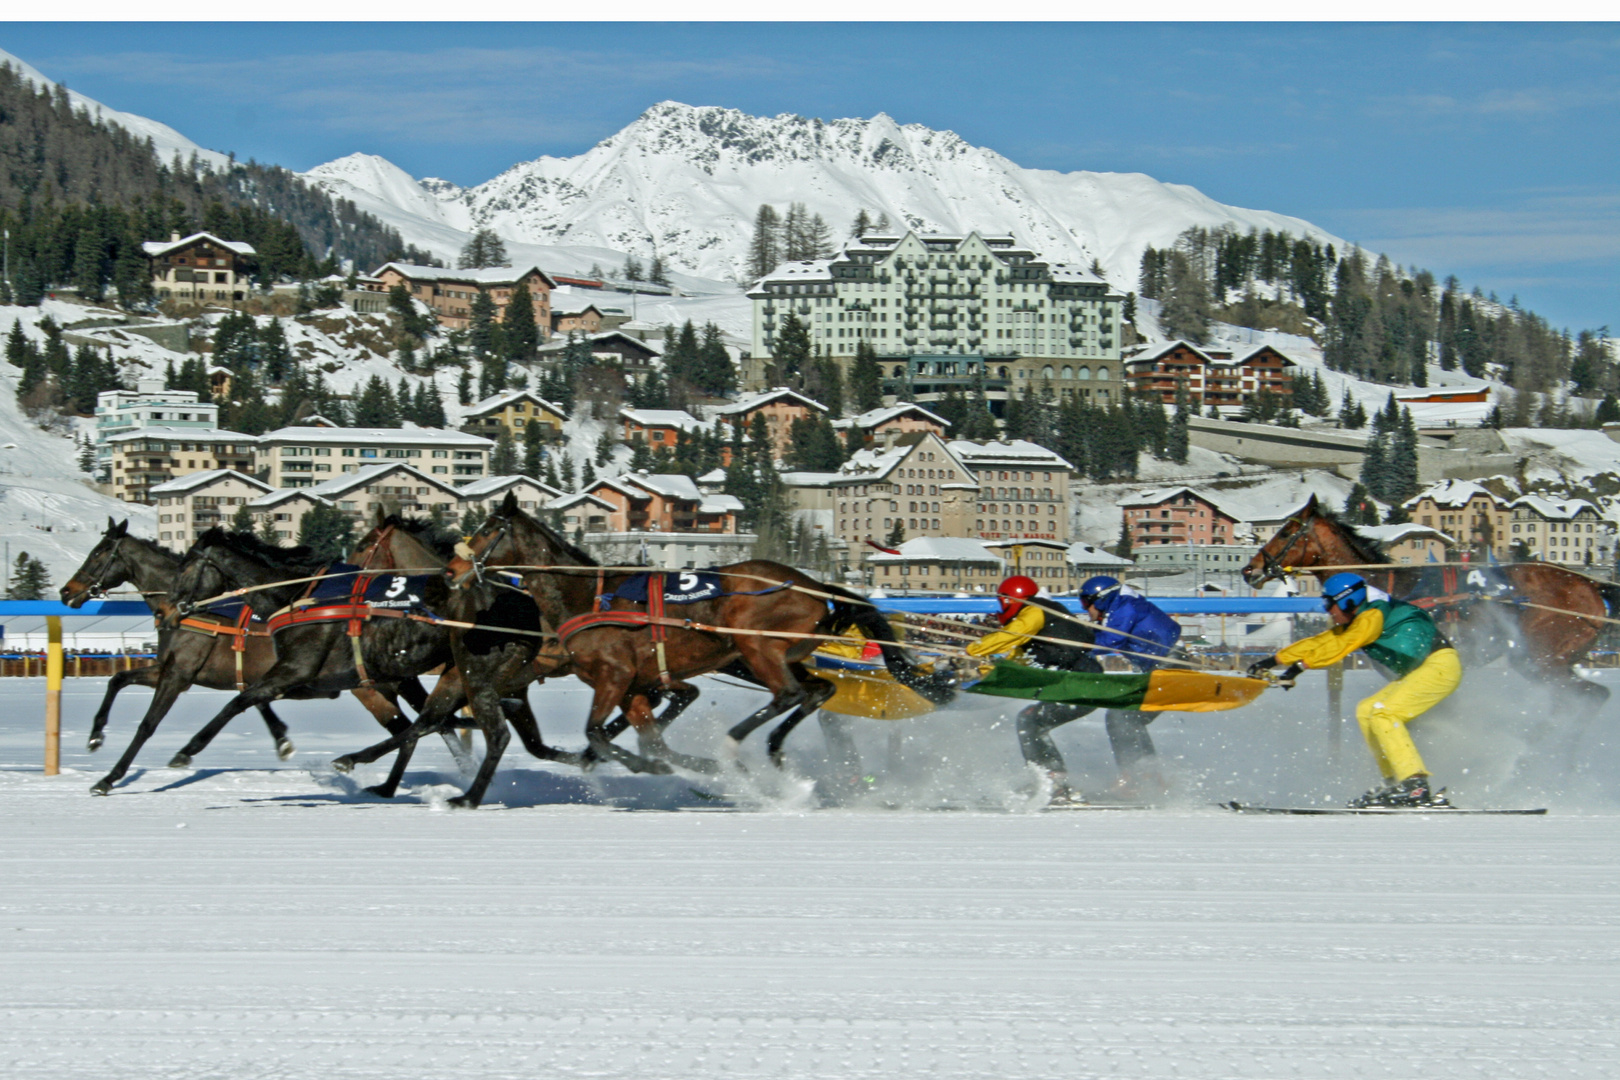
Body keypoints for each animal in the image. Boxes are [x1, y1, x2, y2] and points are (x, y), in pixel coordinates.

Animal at [1244, 492, 1613, 731]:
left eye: (1287, 531)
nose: (1250, 569)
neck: (1380, 585)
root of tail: (1591, 587)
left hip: (1540, 658)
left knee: (1592, 697)